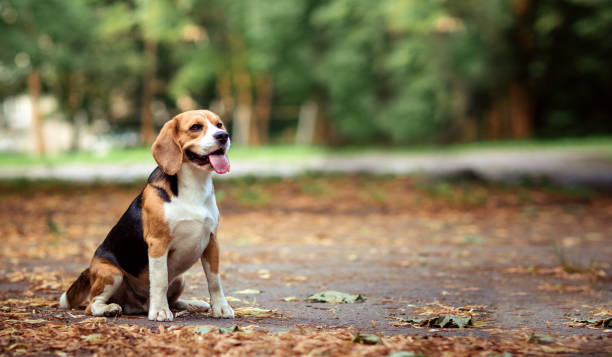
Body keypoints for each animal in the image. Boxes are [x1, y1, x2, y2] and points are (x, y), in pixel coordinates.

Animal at [58, 109, 234, 320]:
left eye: (219, 124)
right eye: (196, 127)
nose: (223, 136)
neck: (194, 186)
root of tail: (138, 306)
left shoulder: (211, 241)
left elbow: (215, 281)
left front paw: (220, 308)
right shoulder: (158, 243)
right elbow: (160, 281)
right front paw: (159, 311)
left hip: (180, 279)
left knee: (174, 301)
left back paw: (193, 304)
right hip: (111, 273)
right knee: (91, 304)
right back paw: (110, 308)